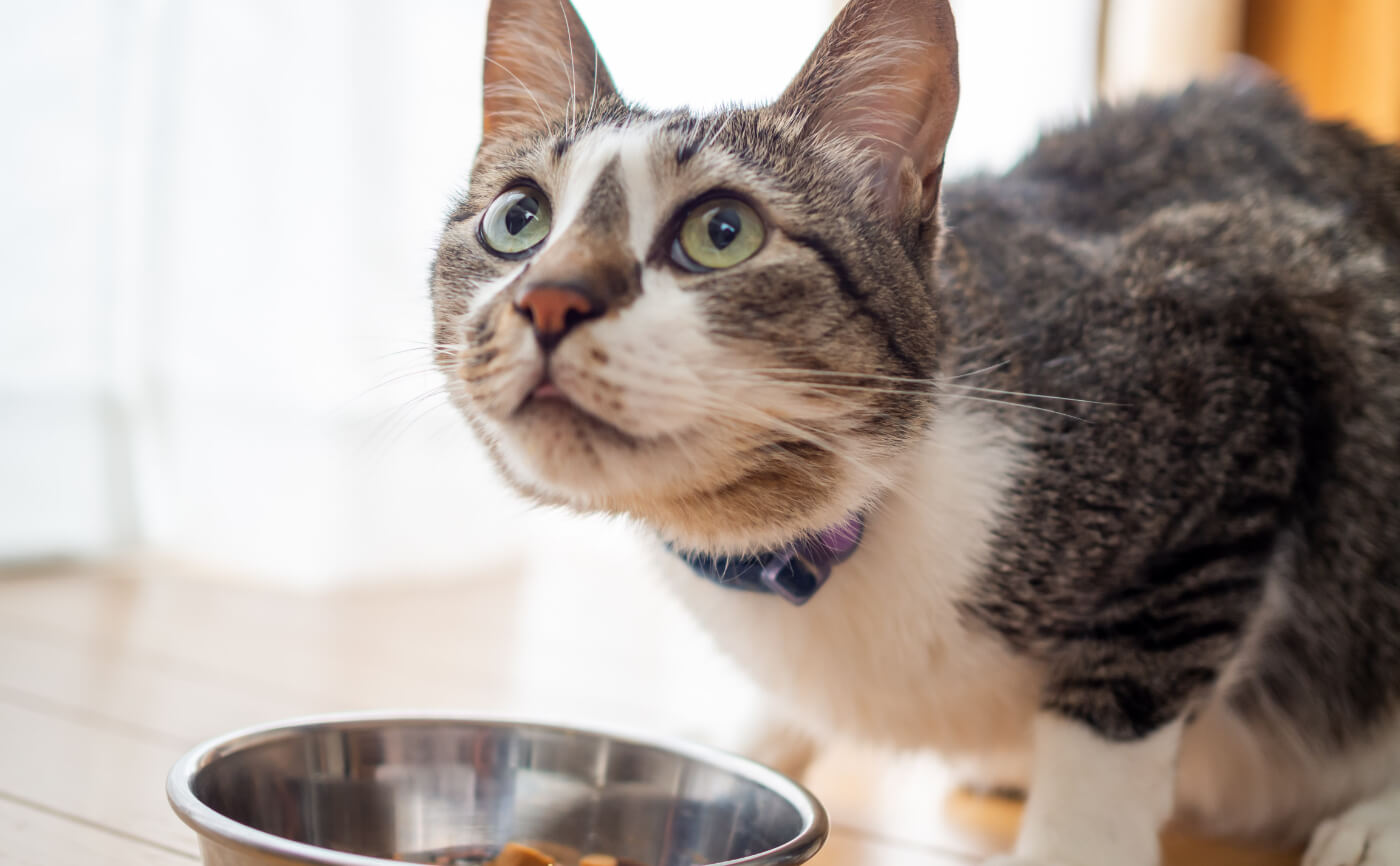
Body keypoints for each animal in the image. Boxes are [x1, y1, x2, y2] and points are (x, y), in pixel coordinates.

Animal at [425, 3, 1400, 861]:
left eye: (722, 232)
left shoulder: (1234, 401)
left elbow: (1110, 727)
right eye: (517, 219)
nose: (549, 298)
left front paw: (1068, 844)